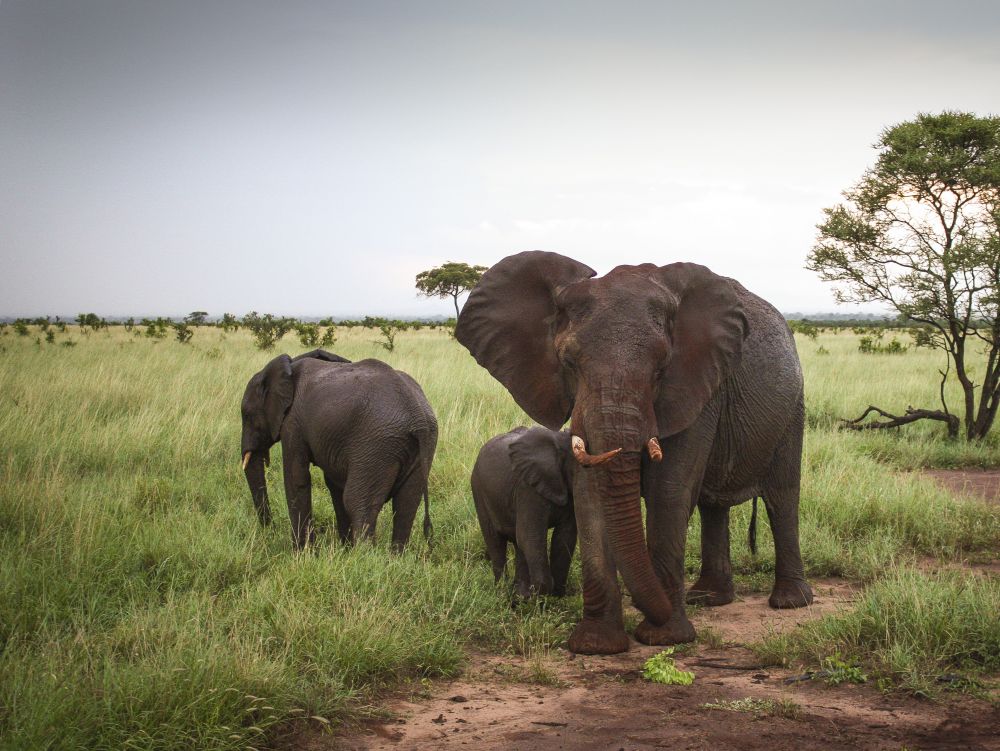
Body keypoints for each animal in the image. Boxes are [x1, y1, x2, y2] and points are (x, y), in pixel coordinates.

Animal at [240, 348, 436, 552]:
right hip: (420, 446)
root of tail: (417, 416)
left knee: (358, 503)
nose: (270, 530)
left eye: (246, 415)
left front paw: (303, 553)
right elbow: (334, 484)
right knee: (406, 504)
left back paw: (363, 557)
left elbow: (296, 478)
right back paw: (393, 557)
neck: (290, 365)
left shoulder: (293, 423)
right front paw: (343, 549)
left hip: (377, 445)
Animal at [470, 428, 580, 600]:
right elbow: (530, 537)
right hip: (479, 491)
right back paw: (502, 593)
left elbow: (564, 536)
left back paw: (518, 594)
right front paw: (538, 596)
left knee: (517, 543)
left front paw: (554, 596)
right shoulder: (528, 489)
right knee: (495, 541)